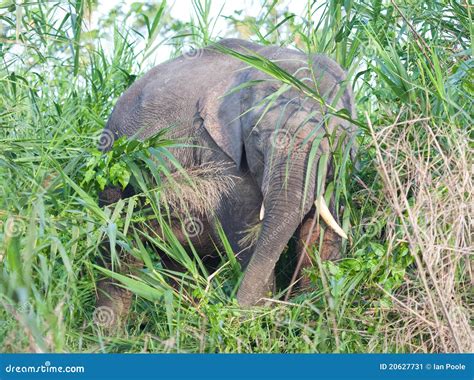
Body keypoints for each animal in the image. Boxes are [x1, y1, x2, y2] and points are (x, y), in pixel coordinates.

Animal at [95, 36, 356, 320]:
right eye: (257, 138)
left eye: (332, 137)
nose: (230, 305)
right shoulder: (217, 148)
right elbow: (242, 232)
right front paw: (256, 315)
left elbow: (323, 227)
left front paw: (314, 309)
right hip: (114, 172)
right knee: (116, 252)